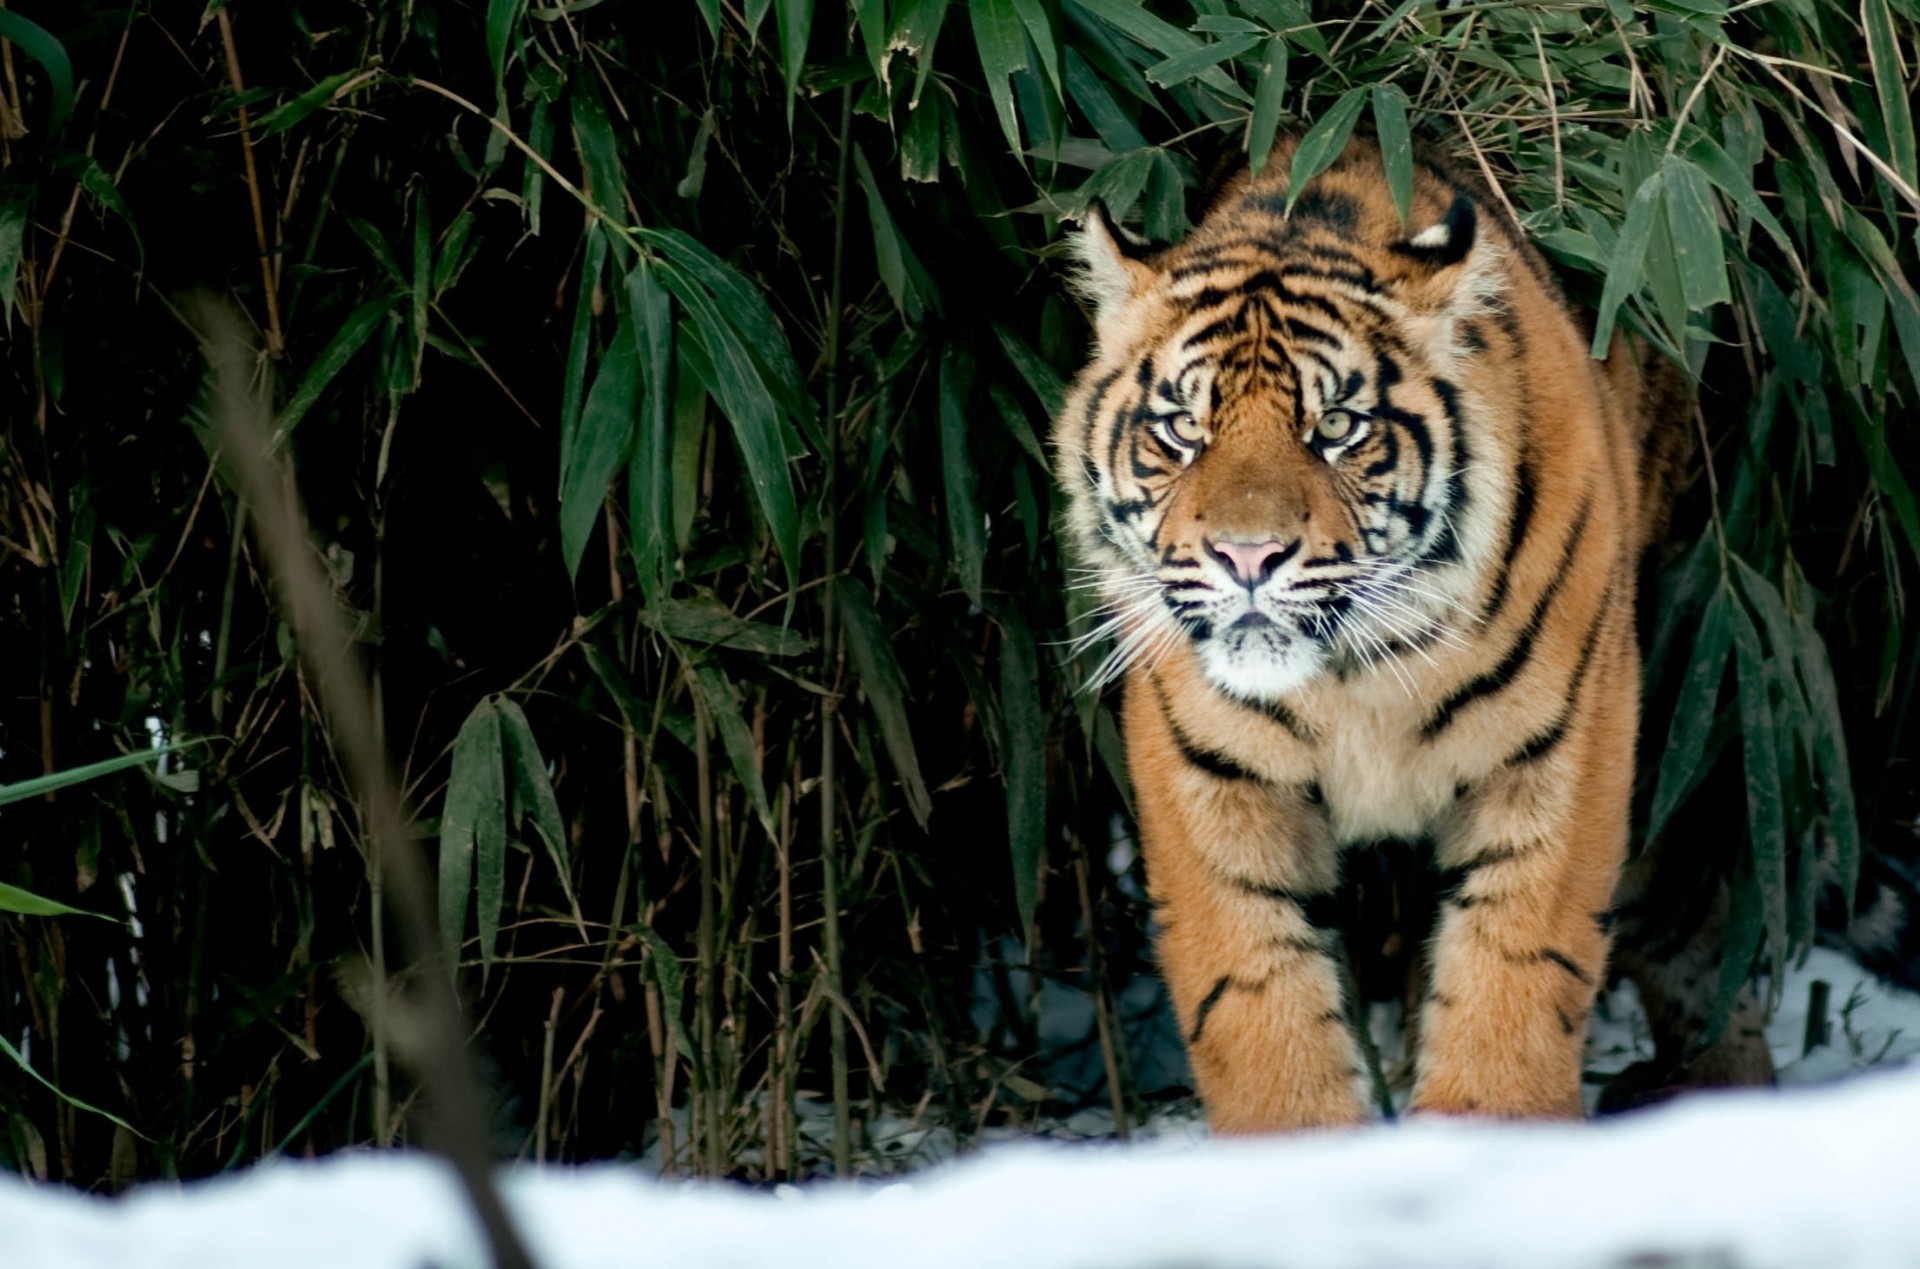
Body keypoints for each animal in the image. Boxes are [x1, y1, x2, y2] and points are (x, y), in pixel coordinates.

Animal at [1052, 132, 1693, 1132]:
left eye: (1338, 427)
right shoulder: (1208, 780)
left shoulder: (1561, 754)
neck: (1355, 672)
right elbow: (1257, 1004)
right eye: (1183, 429)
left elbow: (1514, 977)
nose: (1246, 555)